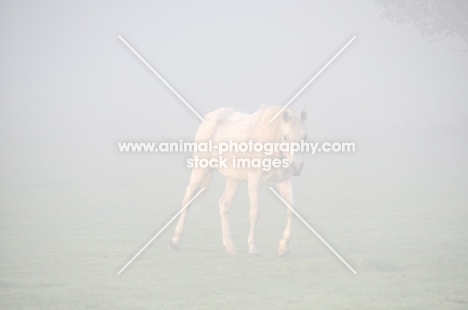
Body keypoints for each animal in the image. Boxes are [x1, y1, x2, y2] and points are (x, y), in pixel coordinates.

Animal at [169, 105, 308, 256]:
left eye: (304, 137)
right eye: (285, 137)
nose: (297, 167)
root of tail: (209, 118)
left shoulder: (284, 181)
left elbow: (291, 209)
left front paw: (284, 247)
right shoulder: (254, 181)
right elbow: (254, 213)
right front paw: (253, 248)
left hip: (233, 179)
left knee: (224, 204)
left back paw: (230, 246)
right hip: (200, 170)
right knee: (188, 199)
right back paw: (175, 241)